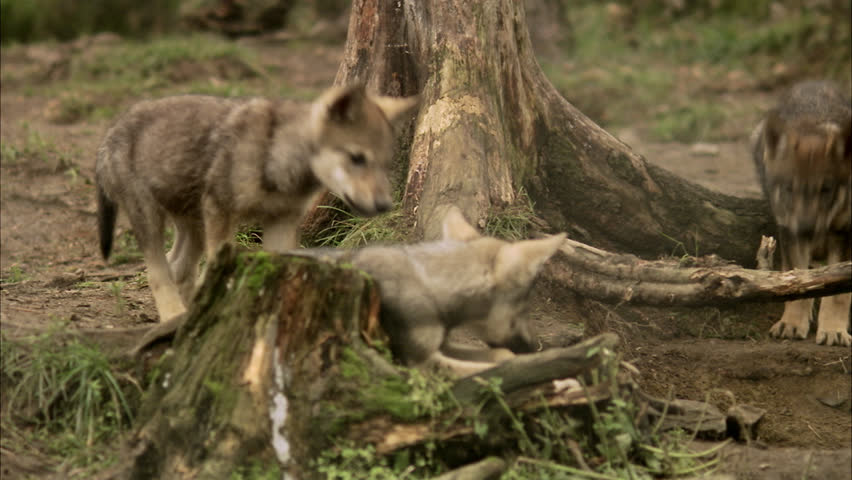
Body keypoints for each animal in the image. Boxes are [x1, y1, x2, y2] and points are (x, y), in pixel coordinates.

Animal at [96, 85, 419, 322]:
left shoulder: (281, 222)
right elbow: (214, 272)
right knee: (159, 273)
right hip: (151, 217)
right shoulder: (221, 213)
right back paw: (175, 317)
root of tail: (110, 131)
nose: (384, 205)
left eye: (385, 164)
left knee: (178, 267)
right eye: (357, 158)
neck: (276, 154)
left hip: (193, 223)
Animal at [302, 206, 567, 376]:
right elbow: (488, 370)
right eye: (523, 309)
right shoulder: (421, 362)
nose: (533, 347)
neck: (430, 285)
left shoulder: (443, 345)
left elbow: (503, 356)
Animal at [751, 80, 852, 346]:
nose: (807, 229)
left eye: (826, 189)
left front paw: (834, 331)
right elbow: (798, 281)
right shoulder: (790, 233)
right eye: (788, 188)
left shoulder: (844, 233)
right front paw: (792, 324)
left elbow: (838, 294)